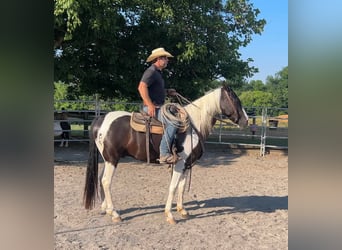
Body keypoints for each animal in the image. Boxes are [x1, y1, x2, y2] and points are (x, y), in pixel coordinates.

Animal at [83, 84, 248, 225]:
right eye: (234, 99)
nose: (246, 121)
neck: (193, 125)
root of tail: (100, 119)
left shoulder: (186, 164)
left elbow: (181, 186)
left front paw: (182, 210)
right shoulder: (179, 163)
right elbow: (173, 187)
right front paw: (170, 215)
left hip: (108, 159)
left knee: (101, 179)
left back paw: (106, 209)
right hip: (112, 159)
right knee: (106, 181)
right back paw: (115, 213)